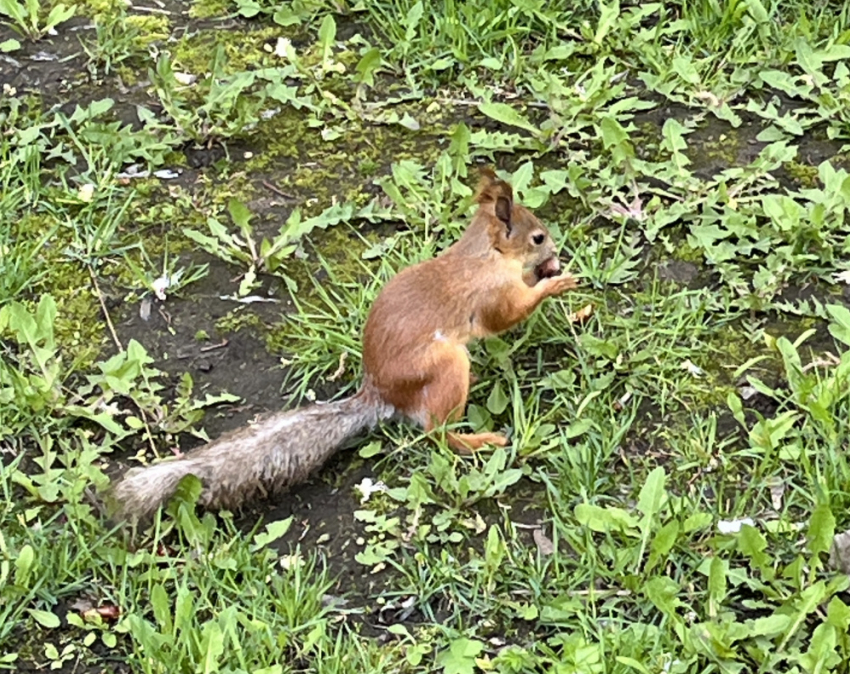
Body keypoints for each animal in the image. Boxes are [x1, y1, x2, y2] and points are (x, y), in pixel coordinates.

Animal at [107, 167, 576, 520]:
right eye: (537, 237)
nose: (555, 250)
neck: (486, 255)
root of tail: (381, 394)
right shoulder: (491, 295)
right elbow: (505, 317)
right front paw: (553, 283)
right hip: (446, 366)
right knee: (436, 434)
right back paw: (478, 441)